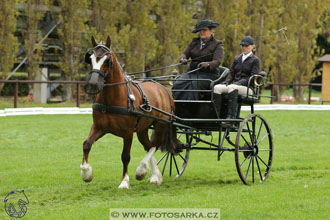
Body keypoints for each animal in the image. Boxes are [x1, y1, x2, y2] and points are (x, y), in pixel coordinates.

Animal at [80, 35, 180, 188]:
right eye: (90, 59)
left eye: (107, 60)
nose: (92, 84)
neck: (113, 98)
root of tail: (163, 88)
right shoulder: (99, 127)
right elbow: (86, 144)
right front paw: (86, 173)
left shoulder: (127, 133)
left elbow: (125, 156)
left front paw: (124, 182)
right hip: (142, 129)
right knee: (149, 146)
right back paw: (155, 176)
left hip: (160, 125)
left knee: (154, 146)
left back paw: (142, 170)